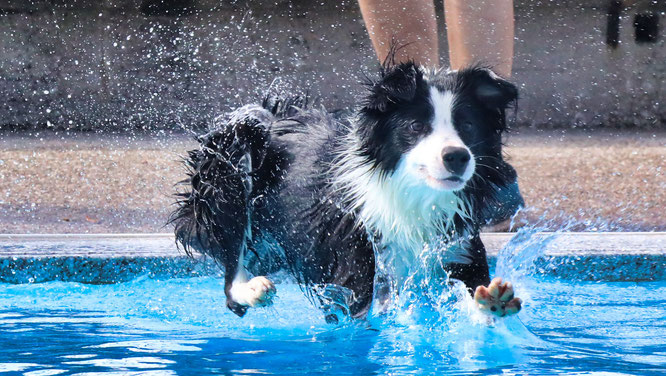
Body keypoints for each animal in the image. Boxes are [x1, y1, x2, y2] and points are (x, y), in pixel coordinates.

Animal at [171, 62, 524, 320]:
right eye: (416, 127)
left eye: (467, 126)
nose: (457, 156)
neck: (414, 196)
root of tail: (272, 115)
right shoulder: (355, 262)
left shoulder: (458, 247)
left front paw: (492, 302)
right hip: (232, 155)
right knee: (232, 270)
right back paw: (250, 289)